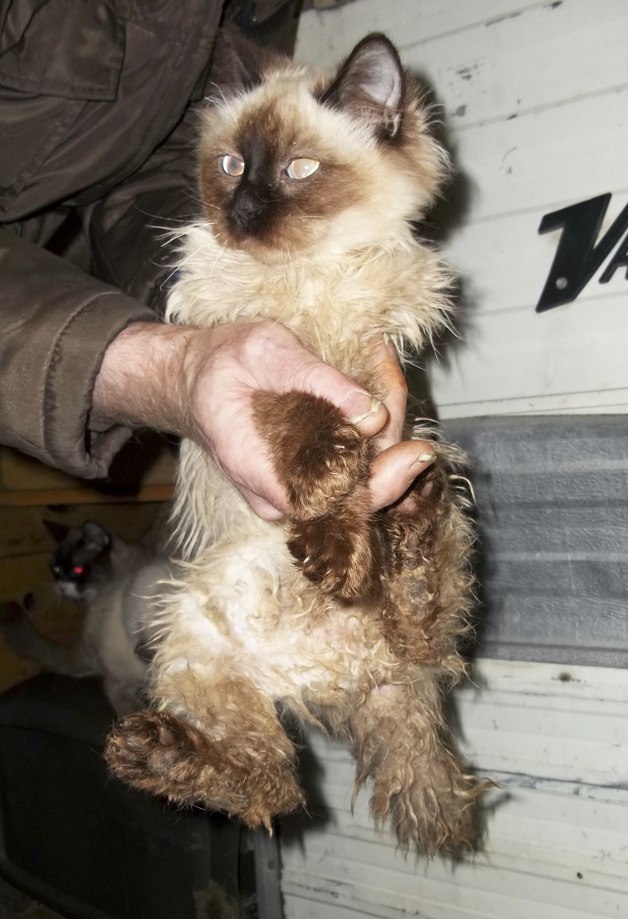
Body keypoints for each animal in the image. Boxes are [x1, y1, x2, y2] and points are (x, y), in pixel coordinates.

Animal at [105, 30, 484, 856]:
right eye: (229, 166)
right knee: (269, 784)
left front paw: (339, 552)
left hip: (446, 482)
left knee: (424, 630)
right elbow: (305, 420)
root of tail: (353, 679)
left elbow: (347, 470)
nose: (244, 211)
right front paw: (334, 541)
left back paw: (407, 530)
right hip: (189, 632)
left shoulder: (373, 374)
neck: (307, 277)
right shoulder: (256, 354)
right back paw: (153, 752)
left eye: (297, 171)